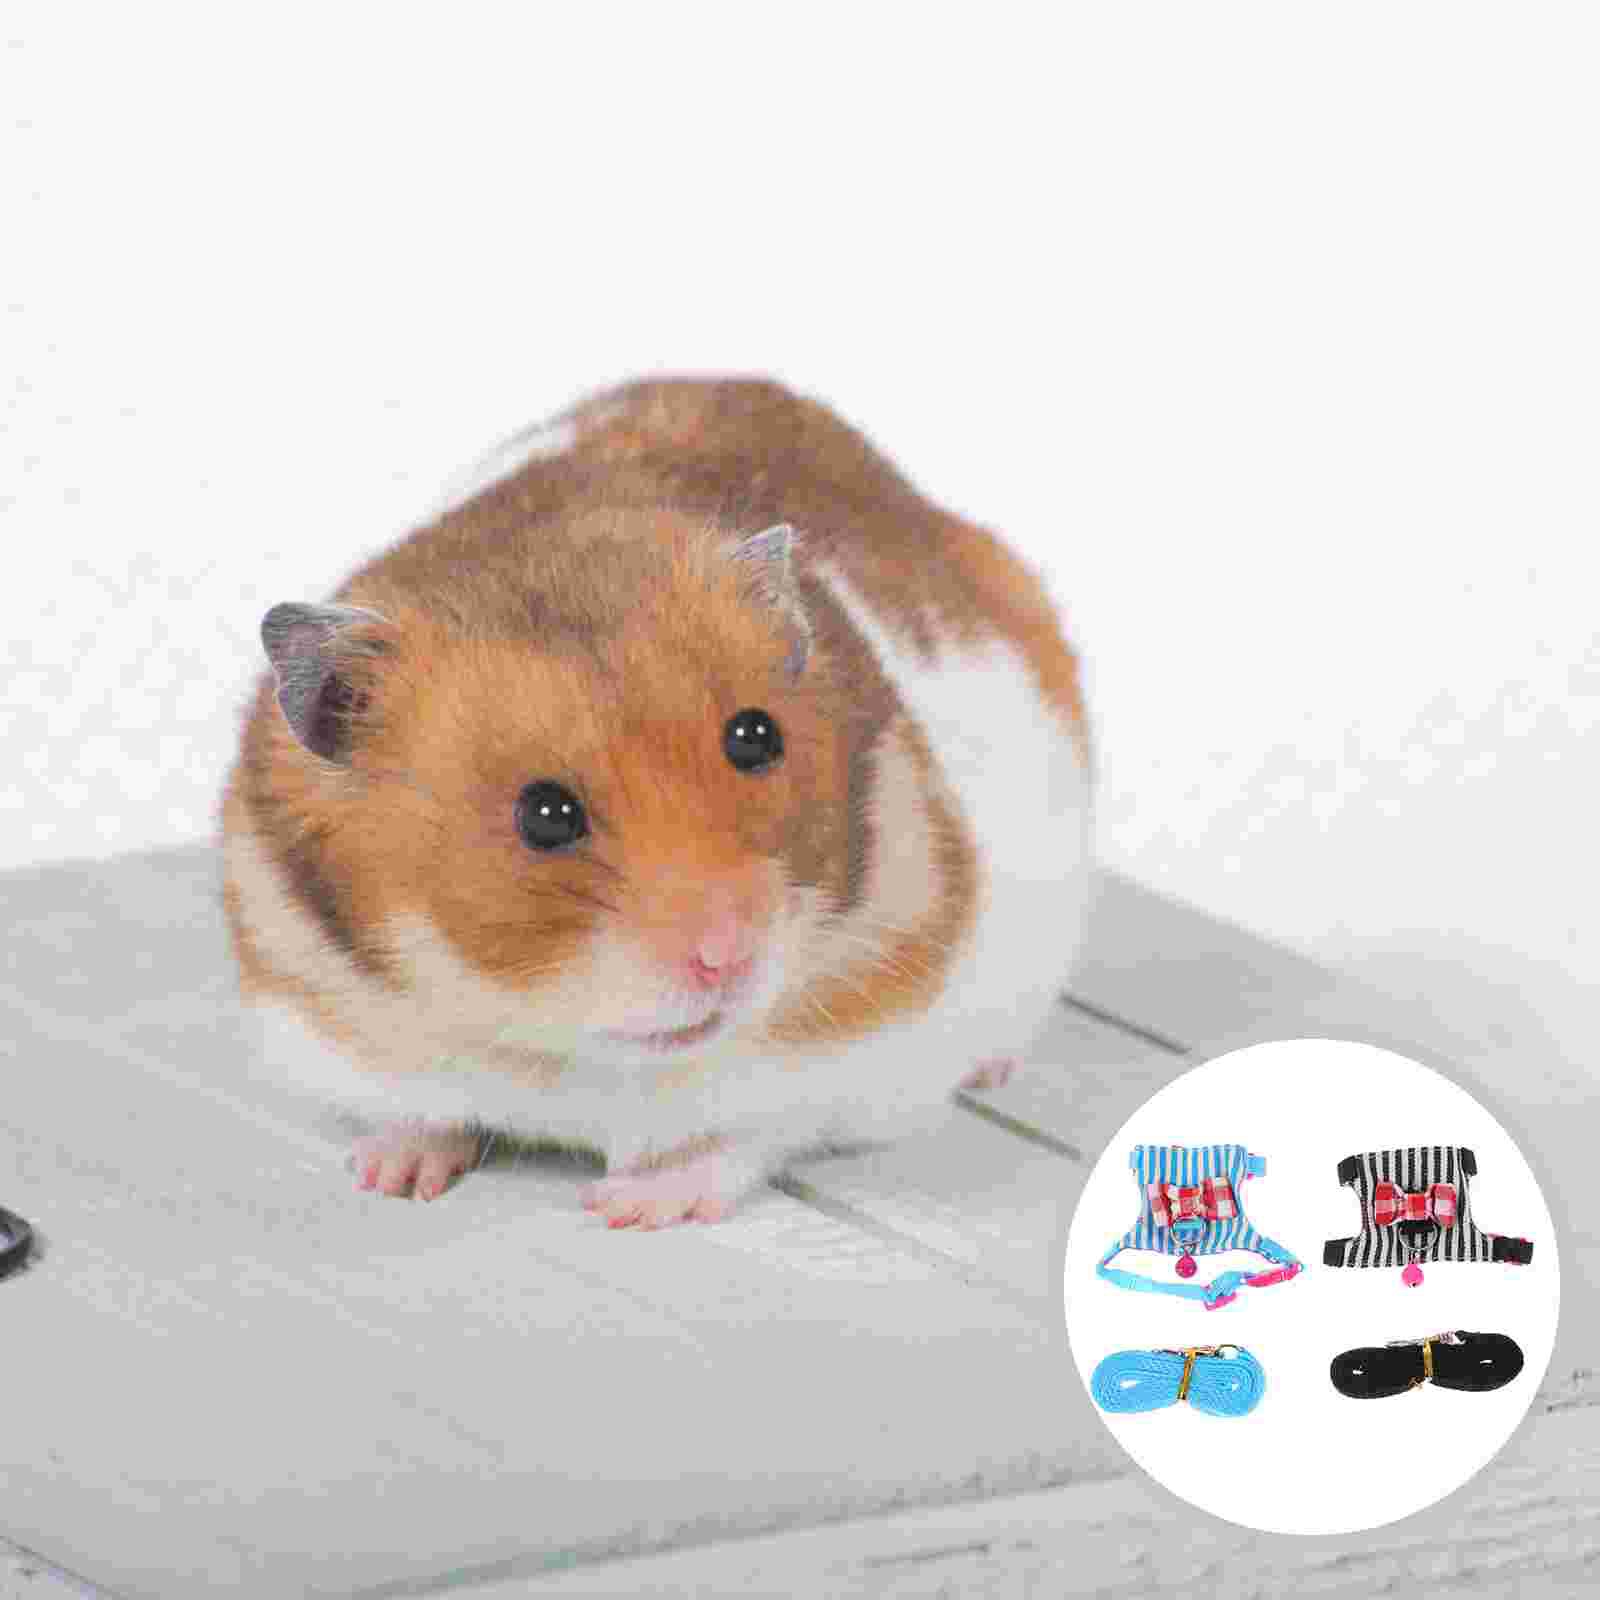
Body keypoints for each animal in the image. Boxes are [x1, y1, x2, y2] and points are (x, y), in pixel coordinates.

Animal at [221, 378, 1093, 1228]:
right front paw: (387, 1178)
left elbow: (742, 1140)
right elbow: (423, 1112)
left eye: (755, 736)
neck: (583, 1048)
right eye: (544, 814)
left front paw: (624, 1208)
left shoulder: (865, 1042)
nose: (729, 955)